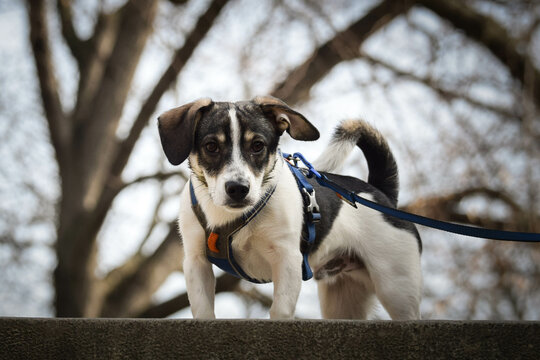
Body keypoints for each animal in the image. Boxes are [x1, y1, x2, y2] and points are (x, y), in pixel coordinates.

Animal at [158, 95, 424, 318]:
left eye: (257, 146)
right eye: (211, 146)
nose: (238, 189)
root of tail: (382, 194)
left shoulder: (287, 259)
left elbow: (280, 310)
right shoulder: (196, 262)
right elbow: (203, 311)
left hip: (396, 288)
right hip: (343, 300)